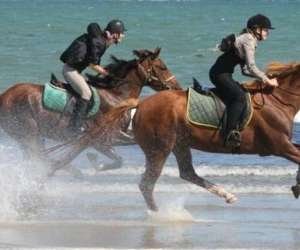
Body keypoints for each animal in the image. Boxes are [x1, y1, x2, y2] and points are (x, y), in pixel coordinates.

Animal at [0, 47, 180, 175]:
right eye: (163, 67)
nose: (177, 87)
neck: (116, 96)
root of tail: (4, 96)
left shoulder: (114, 137)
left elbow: (125, 152)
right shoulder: (101, 140)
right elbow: (118, 160)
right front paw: (95, 163)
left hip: (26, 136)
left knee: (38, 157)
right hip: (29, 133)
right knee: (40, 156)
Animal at [51, 61, 300, 211]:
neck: (278, 100)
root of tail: (140, 104)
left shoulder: (285, 145)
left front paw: (296, 185)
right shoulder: (280, 146)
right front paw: (296, 185)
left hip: (180, 144)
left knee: (187, 173)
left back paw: (227, 195)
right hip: (160, 149)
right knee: (147, 183)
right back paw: (158, 215)